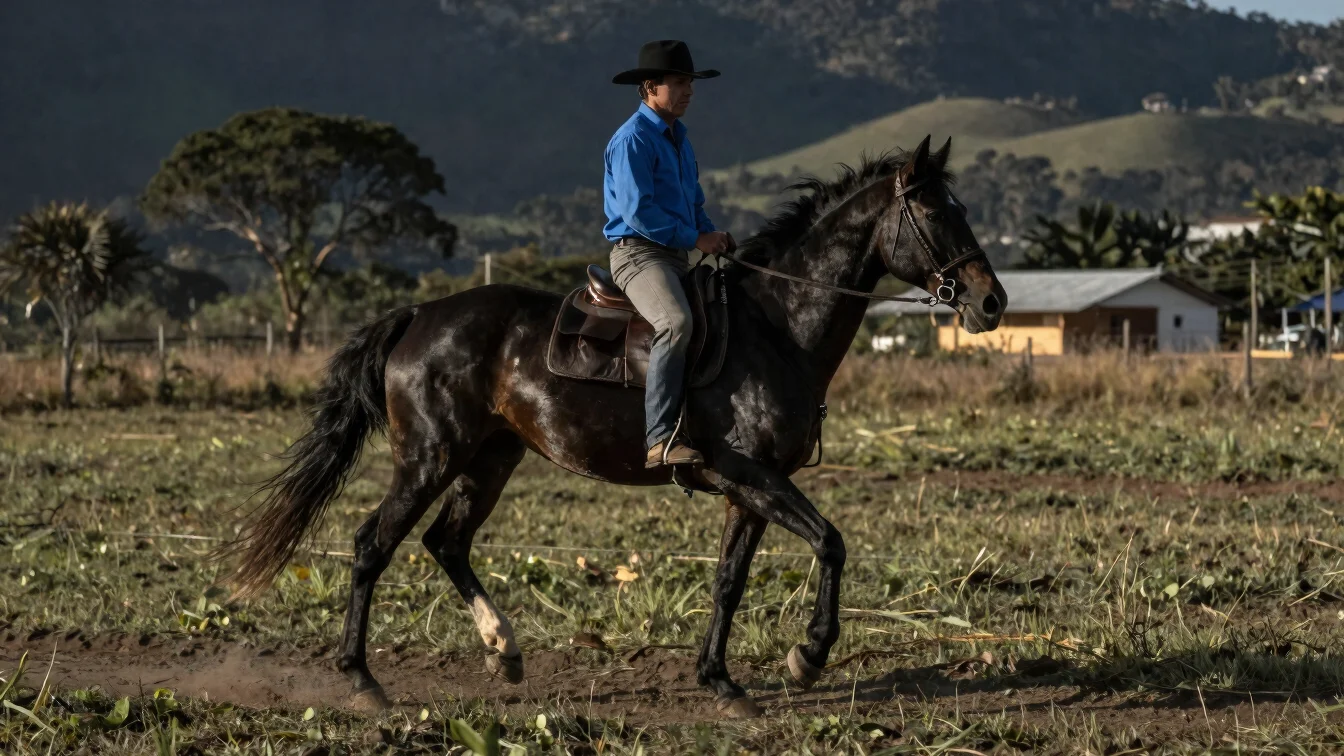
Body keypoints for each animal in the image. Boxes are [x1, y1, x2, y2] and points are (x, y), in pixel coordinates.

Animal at [218, 135, 1006, 718]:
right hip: (429, 457)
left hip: (490, 458)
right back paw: (363, 679)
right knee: (372, 544)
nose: (990, 301)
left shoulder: (748, 488)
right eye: (937, 214)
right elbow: (831, 543)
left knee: (447, 542)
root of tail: (420, 315)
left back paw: (504, 650)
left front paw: (721, 681)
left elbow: (729, 580)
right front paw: (807, 657)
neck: (776, 326)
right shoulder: (749, 474)